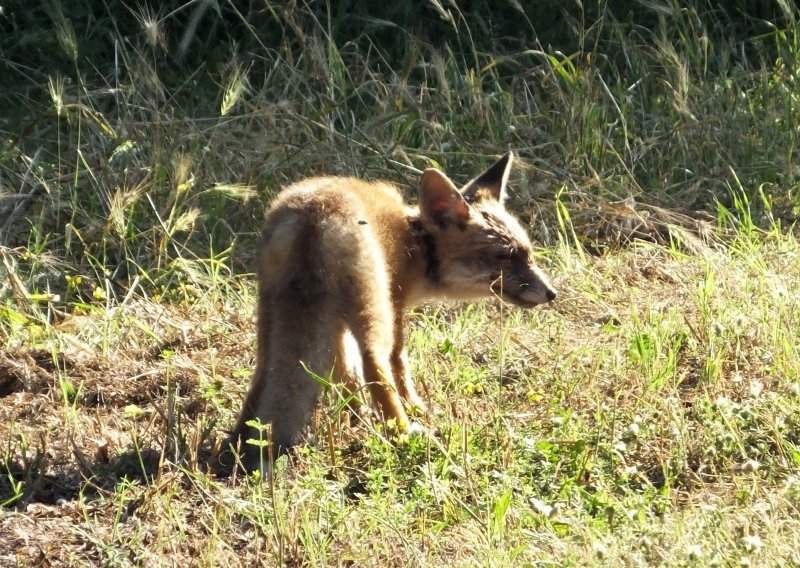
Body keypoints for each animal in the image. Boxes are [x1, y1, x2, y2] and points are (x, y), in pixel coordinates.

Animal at [222, 151, 552, 470]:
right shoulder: (396, 303)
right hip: (374, 307)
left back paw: (239, 441)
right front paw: (414, 406)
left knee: (264, 371)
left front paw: (354, 415)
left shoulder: (337, 320)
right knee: (374, 363)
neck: (416, 244)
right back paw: (404, 433)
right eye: (506, 256)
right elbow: (398, 363)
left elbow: (346, 371)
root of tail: (314, 216)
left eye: (529, 253)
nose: (552, 293)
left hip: (272, 311)